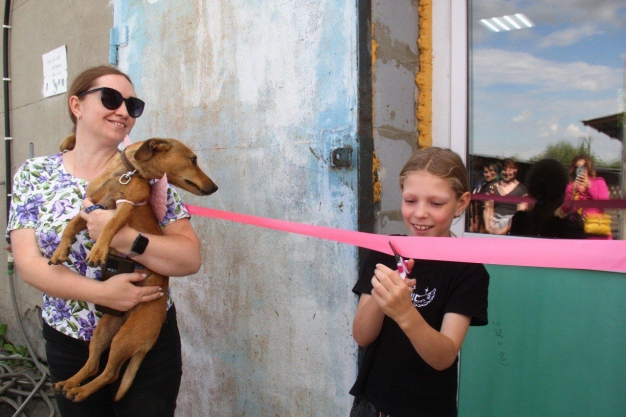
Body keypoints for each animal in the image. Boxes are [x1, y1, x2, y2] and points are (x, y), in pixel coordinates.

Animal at [48, 136, 217, 400]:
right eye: (193, 159)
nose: (214, 187)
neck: (126, 173)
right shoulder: (90, 207)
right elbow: (71, 226)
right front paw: (60, 251)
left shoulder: (125, 206)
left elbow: (110, 227)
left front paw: (98, 250)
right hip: (104, 332)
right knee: (94, 365)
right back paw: (70, 383)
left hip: (124, 338)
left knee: (110, 374)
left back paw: (80, 391)